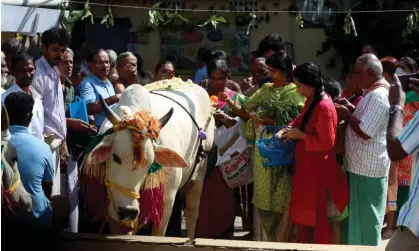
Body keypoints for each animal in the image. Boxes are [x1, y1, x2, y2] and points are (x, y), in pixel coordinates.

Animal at [86, 82, 217, 237]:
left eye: (149, 163)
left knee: (192, 214)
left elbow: (158, 234)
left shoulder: (166, 202)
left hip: (198, 176)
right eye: (115, 157)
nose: (128, 211)